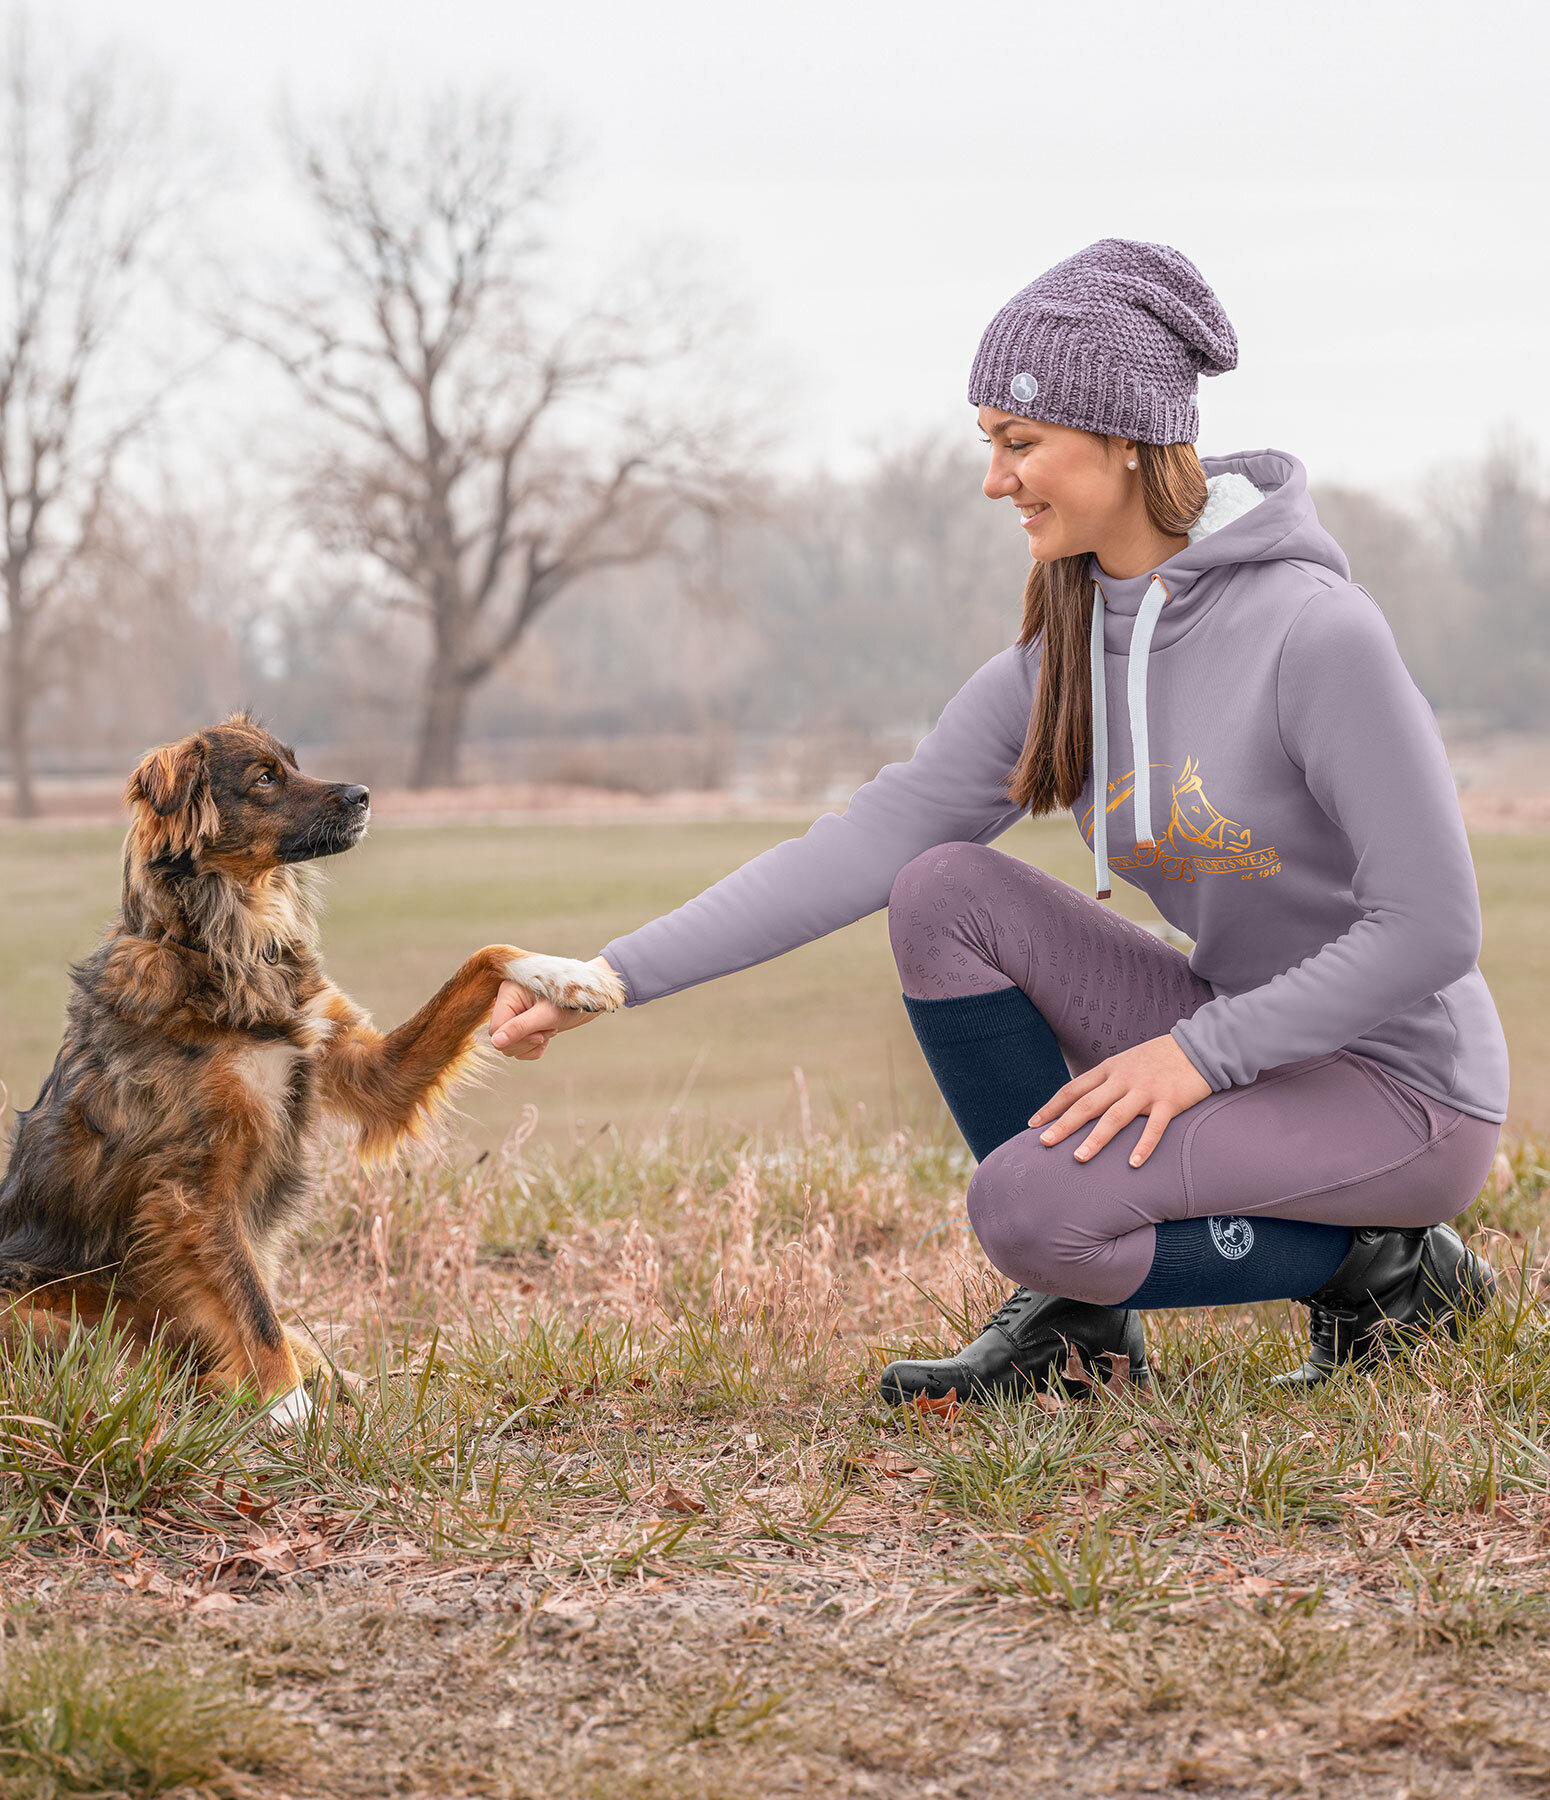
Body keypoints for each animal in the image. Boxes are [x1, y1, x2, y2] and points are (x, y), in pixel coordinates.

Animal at [1, 712, 615, 1418]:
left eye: (294, 763)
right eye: (266, 778)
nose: (366, 794)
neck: (229, 945)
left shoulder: (362, 1065)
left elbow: (486, 955)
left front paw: (565, 975)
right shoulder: (191, 1191)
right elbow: (252, 1308)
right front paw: (288, 1409)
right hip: (42, 1315)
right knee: (143, 1365)